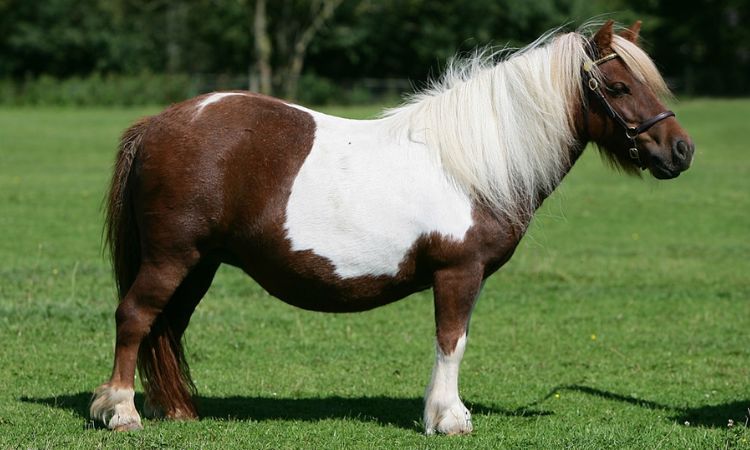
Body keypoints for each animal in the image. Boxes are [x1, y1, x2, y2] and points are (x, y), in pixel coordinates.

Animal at [90, 20, 694, 434]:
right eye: (618, 88)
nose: (681, 150)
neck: (470, 164)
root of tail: (159, 123)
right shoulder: (458, 272)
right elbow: (452, 341)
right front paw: (448, 418)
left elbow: (454, 340)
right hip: (173, 257)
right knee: (136, 316)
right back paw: (121, 410)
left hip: (201, 264)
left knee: (166, 326)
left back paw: (175, 410)